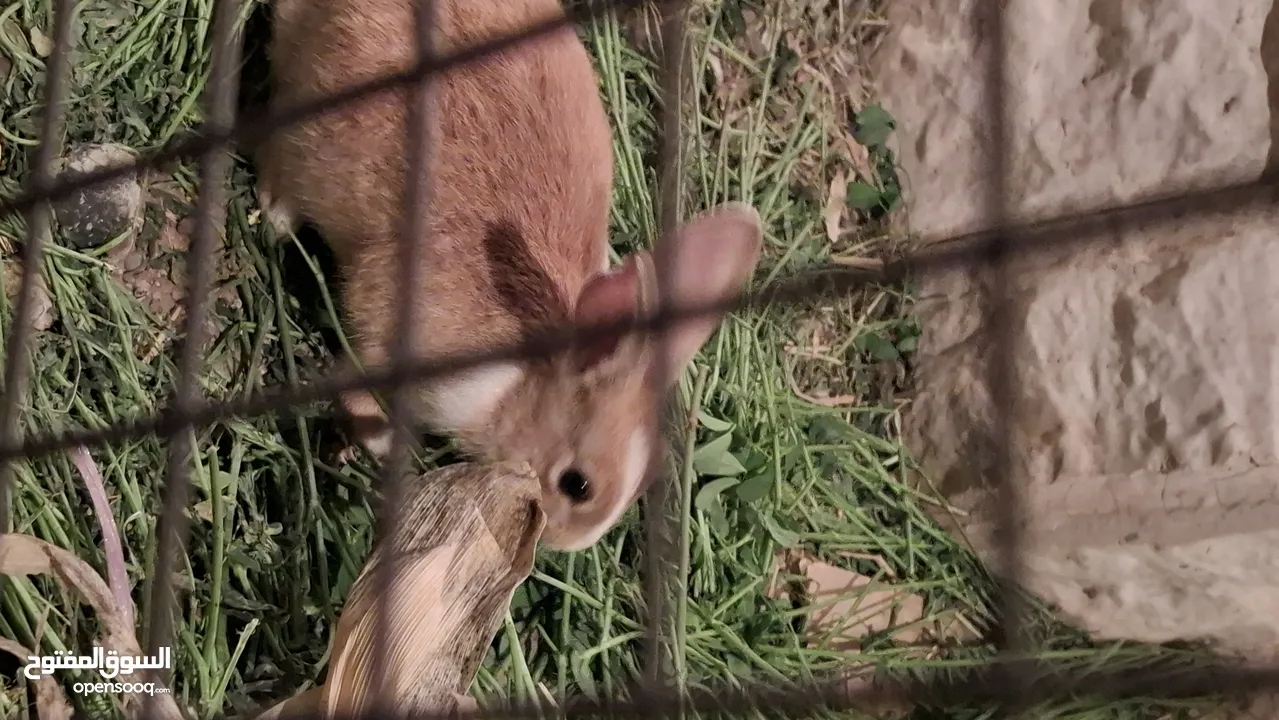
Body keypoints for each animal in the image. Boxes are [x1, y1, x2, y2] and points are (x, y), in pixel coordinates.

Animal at [258, 0, 757, 552]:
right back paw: (275, 215)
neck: (518, 380)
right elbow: (356, 386)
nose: (556, 542)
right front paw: (386, 445)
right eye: (576, 484)